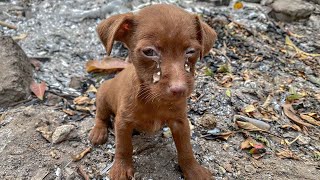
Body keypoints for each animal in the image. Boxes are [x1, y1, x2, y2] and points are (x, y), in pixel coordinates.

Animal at [89, 3, 216, 179]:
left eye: (191, 51)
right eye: (149, 52)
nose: (179, 89)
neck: (153, 99)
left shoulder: (180, 122)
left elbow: (186, 149)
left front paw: (193, 169)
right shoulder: (122, 122)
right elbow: (123, 147)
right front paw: (121, 167)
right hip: (103, 95)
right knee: (101, 115)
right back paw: (98, 131)